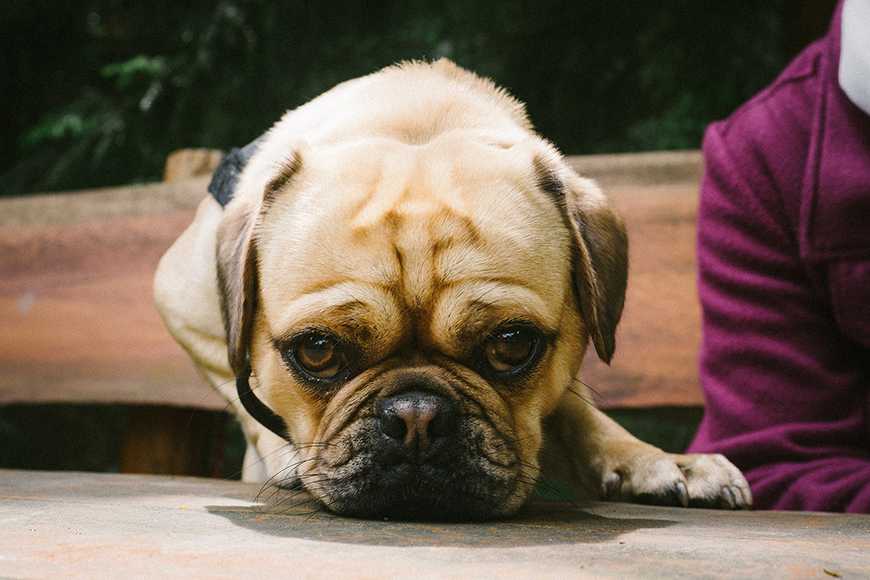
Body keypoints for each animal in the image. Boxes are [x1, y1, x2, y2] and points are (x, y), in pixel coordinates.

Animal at [153, 60, 752, 520]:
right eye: (317, 351)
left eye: (513, 345)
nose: (416, 416)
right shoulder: (181, 298)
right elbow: (238, 384)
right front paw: (283, 449)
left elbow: (579, 412)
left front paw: (652, 458)